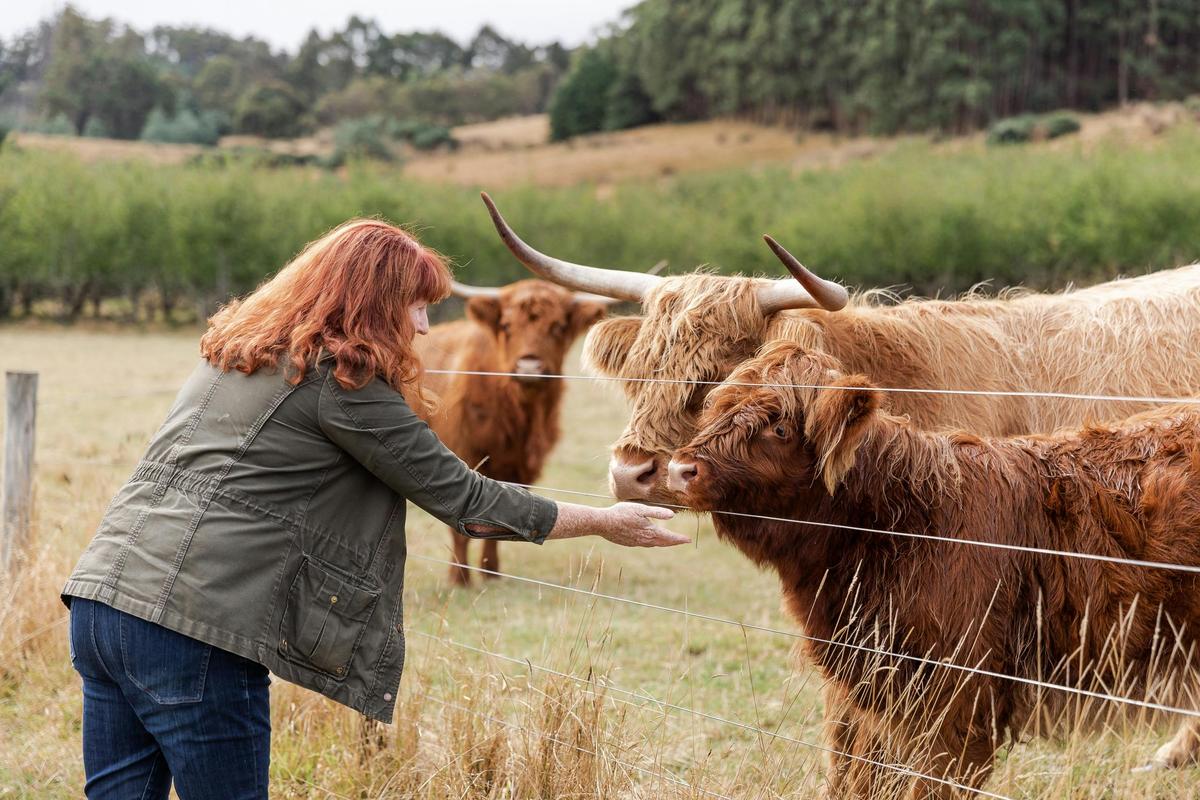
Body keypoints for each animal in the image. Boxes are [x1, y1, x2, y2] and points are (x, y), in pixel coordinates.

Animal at [414, 279, 608, 584]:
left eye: (557, 326)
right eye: (506, 325)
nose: (529, 366)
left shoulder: (517, 468)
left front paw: (490, 572)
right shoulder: (462, 456)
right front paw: (460, 578)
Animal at [665, 341, 1200, 798]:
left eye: (778, 427)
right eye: (717, 410)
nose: (680, 470)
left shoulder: (958, 695)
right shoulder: (876, 690)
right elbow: (858, 773)